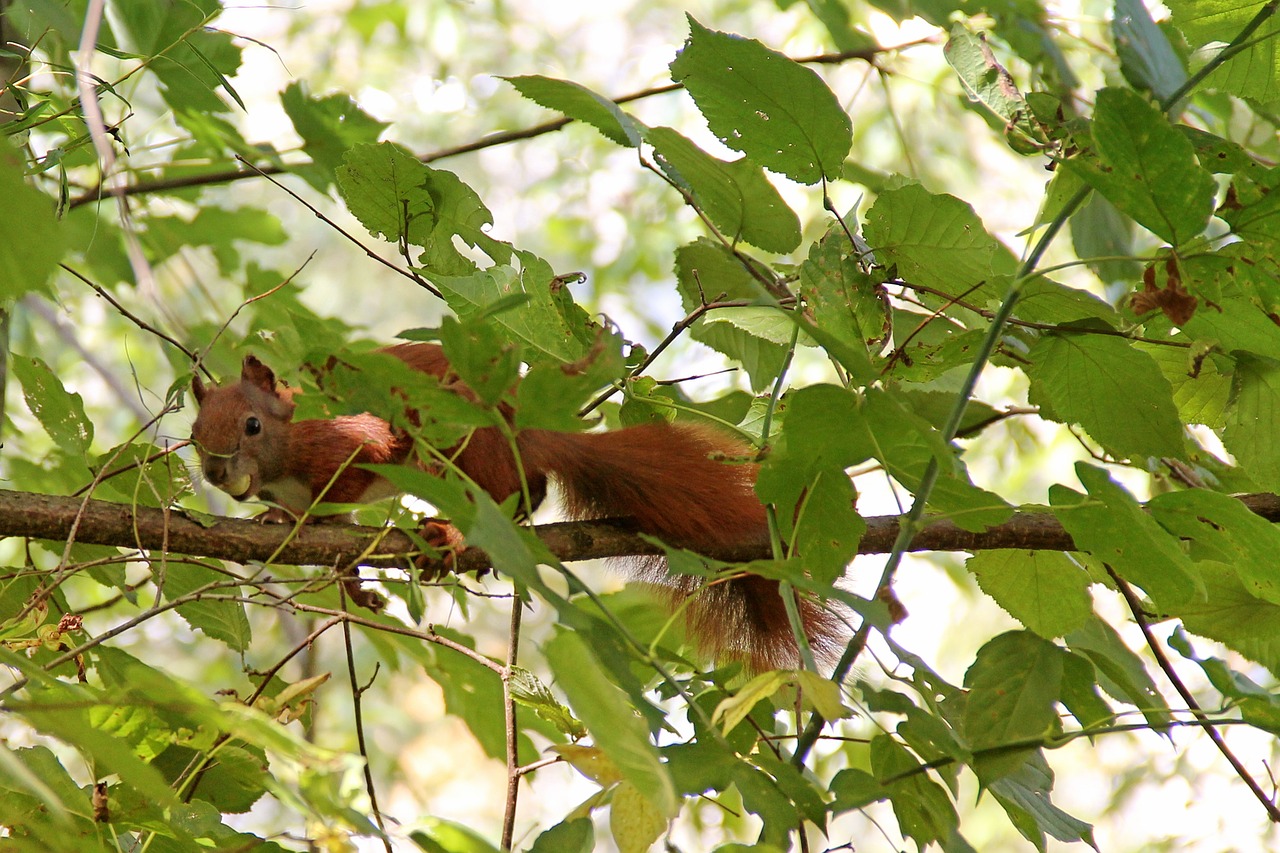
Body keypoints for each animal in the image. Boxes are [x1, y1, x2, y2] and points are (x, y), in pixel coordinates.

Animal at [189, 343, 839, 666]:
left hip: (463, 441)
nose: (217, 472)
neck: (287, 454)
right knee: (535, 487)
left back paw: (455, 533)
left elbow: (342, 492)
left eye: (251, 425)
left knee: (508, 488)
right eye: (195, 431)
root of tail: (527, 430)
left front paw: (299, 519)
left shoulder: (352, 445)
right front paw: (320, 554)